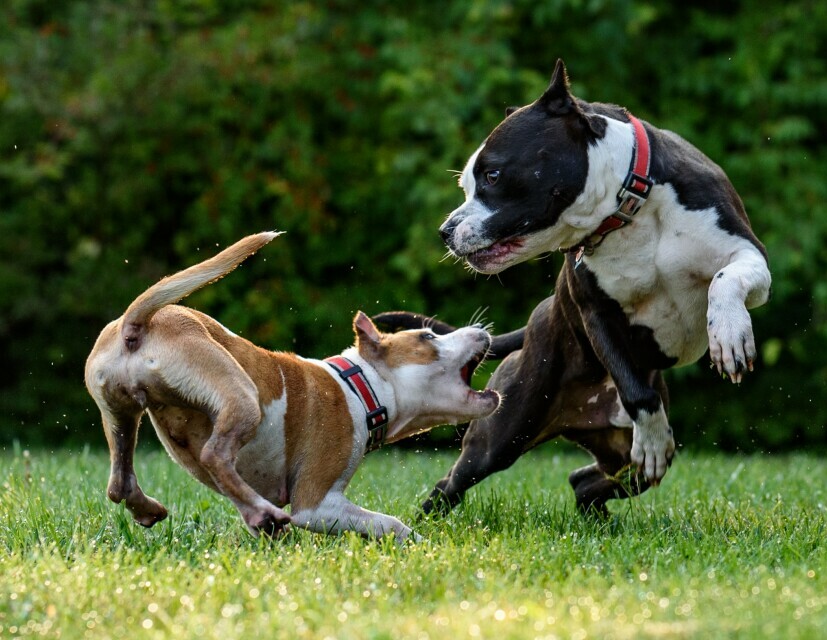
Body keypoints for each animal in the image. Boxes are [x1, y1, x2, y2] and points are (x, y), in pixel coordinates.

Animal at [85, 231, 498, 540]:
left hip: (120, 414)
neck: (360, 385)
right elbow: (390, 524)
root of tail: (135, 324)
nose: (481, 329)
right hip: (240, 395)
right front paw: (419, 544)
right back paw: (262, 511)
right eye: (428, 336)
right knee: (214, 454)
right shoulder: (316, 504)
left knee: (120, 482)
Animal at [378, 60, 772, 516]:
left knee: (586, 480)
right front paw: (654, 437)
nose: (445, 230)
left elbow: (725, 281)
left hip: (618, 456)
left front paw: (729, 334)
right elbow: (636, 393)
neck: (629, 208)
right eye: (467, 185)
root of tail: (537, 318)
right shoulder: (595, 313)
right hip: (503, 433)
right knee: (454, 482)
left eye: (492, 175)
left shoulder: (748, 254)